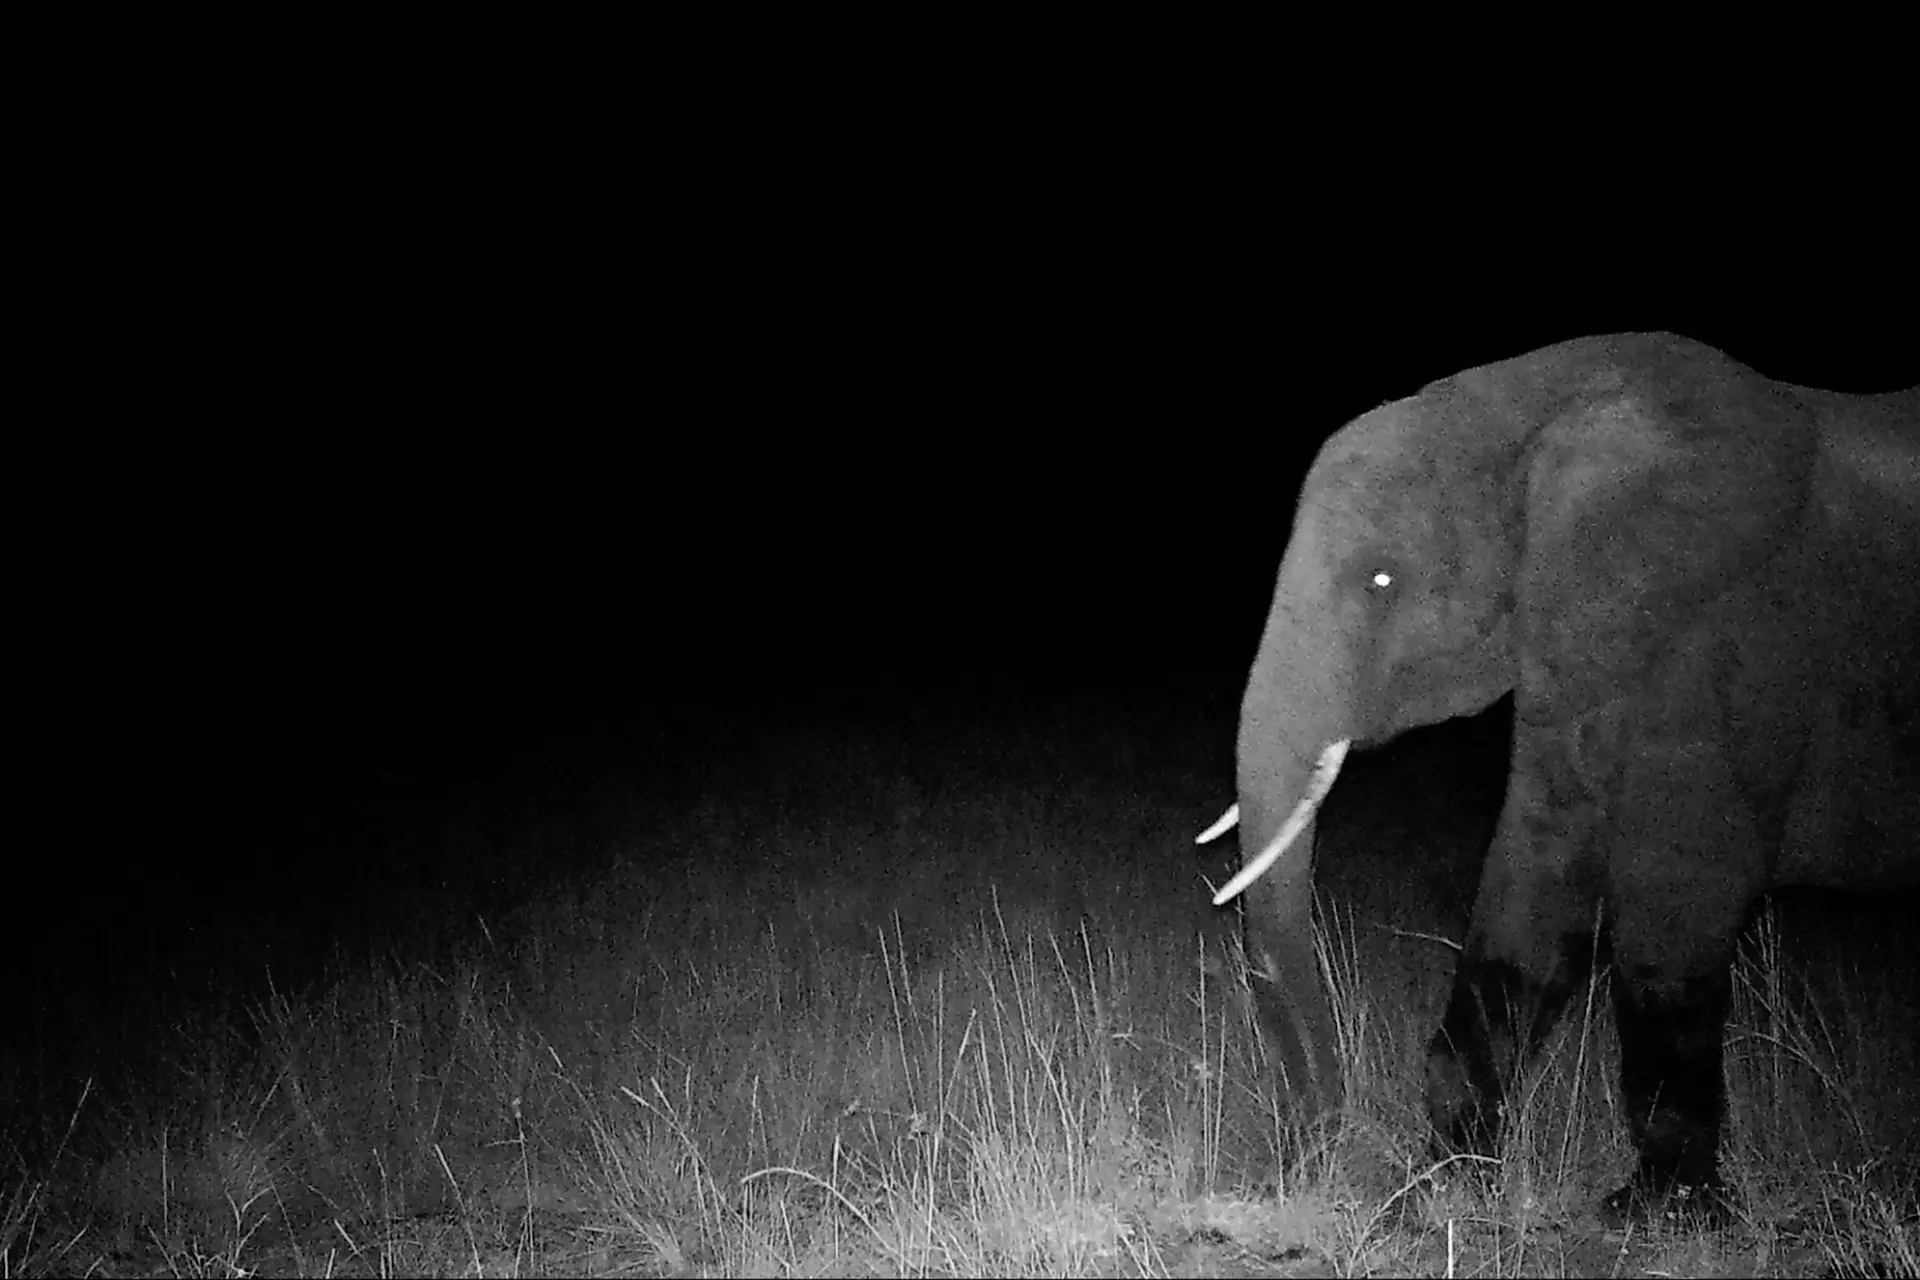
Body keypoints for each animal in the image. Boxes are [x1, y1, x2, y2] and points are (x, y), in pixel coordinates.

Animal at [1198, 332, 1918, 1221]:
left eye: (1382, 581)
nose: (1315, 1154)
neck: (1534, 408)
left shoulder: (1729, 642)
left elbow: (1674, 910)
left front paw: (1657, 1213)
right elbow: (1537, 883)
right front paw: (1445, 1186)